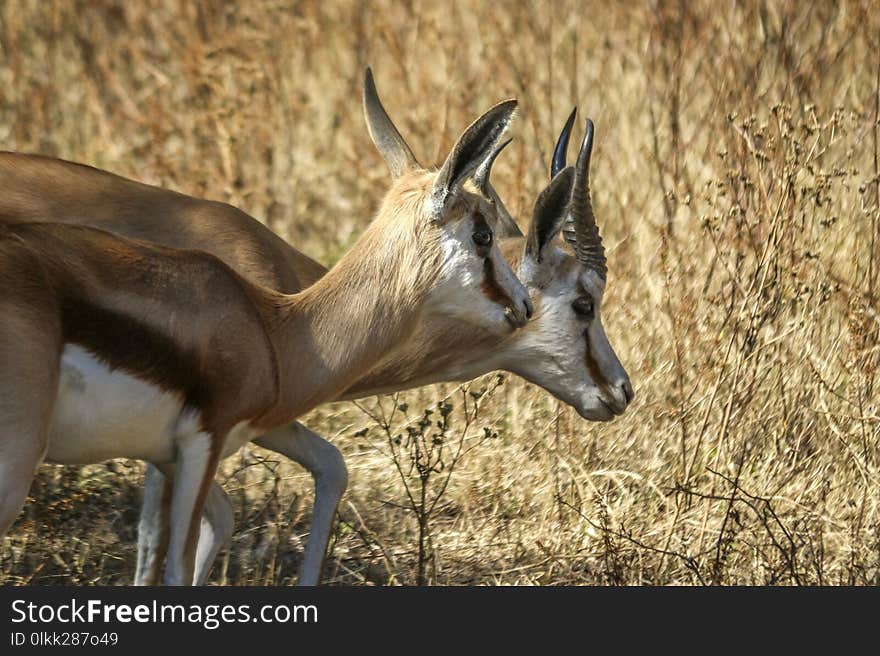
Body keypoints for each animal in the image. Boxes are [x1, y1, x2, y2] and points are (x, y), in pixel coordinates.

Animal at [1, 73, 632, 584]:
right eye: (585, 303)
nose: (621, 390)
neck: (281, 314)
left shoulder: (249, 429)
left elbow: (325, 470)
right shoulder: (201, 439)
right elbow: (163, 540)